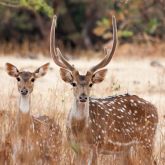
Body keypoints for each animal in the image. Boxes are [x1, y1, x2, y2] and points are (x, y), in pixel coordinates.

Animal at [49, 14, 158, 164]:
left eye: (91, 84)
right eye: (73, 83)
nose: (83, 97)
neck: (80, 131)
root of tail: (156, 109)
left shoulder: (96, 144)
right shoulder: (74, 148)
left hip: (147, 140)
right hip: (126, 149)